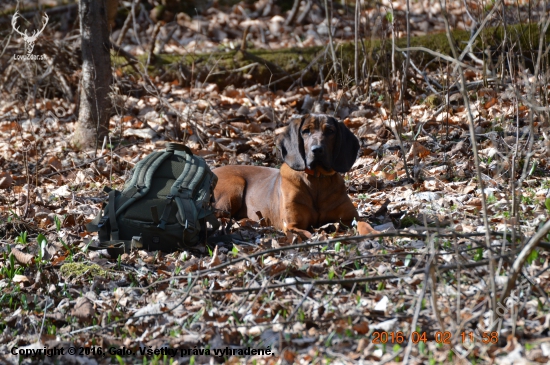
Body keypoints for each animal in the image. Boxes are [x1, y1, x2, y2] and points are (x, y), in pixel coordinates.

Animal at [212, 114, 362, 233]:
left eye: (330, 131)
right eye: (305, 131)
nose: (317, 150)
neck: (317, 178)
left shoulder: (351, 218)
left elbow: (363, 225)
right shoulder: (293, 225)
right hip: (234, 188)